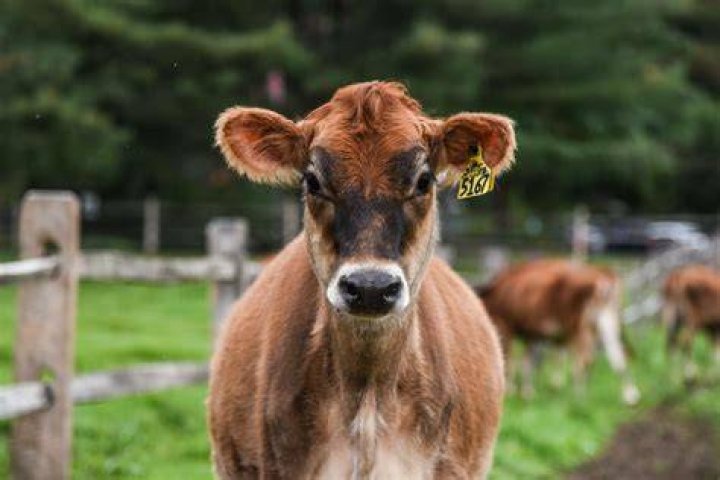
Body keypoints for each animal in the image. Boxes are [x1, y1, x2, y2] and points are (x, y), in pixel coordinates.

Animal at [476, 259, 640, 405]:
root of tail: (602, 272)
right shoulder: (534, 334)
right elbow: (531, 361)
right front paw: (530, 391)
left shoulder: (506, 325)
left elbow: (511, 360)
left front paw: (512, 391)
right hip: (606, 320)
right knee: (617, 355)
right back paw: (630, 396)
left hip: (579, 326)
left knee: (584, 360)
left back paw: (579, 399)